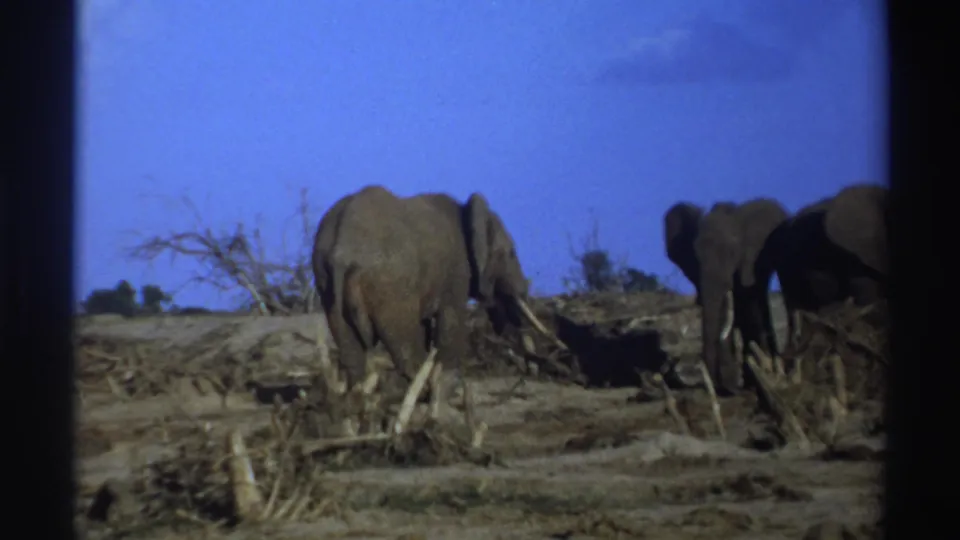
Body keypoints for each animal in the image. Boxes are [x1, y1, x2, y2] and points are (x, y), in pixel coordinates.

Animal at [312, 185, 554, 435]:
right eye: (511, 253)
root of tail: (342, 252)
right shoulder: (456, 273)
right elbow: (451, 325)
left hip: (327, 284)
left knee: (353, 356)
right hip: (391, 287)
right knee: (405, 351)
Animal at [664, 198, 790, 395]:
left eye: (732, 253)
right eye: (696, 255)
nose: (719, 386)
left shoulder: (749, 263)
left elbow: (746, 306)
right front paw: (731, 384)